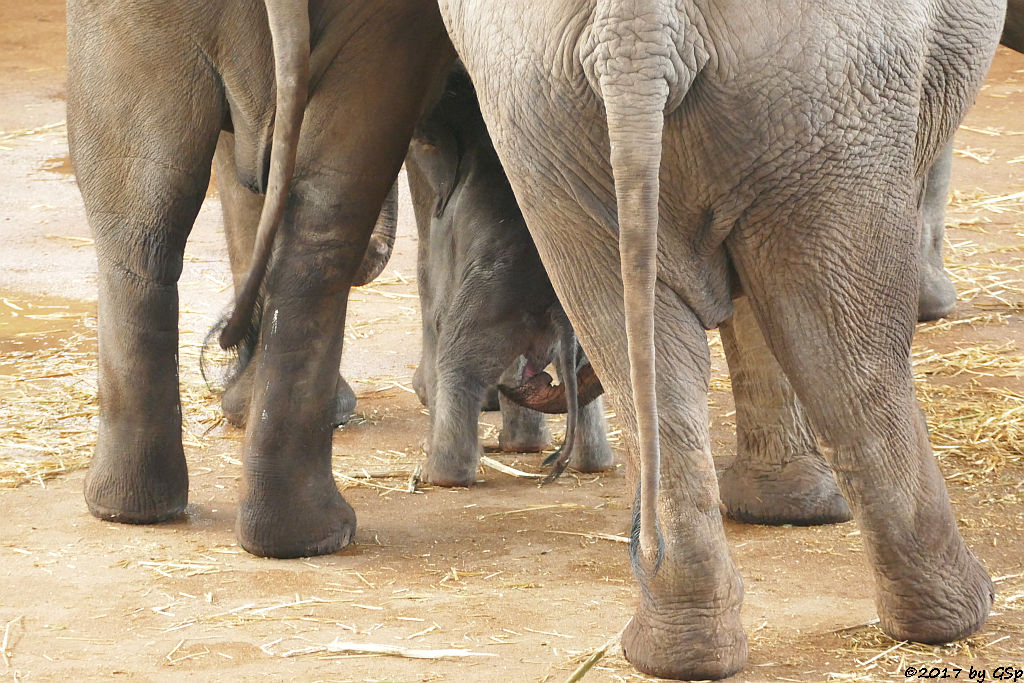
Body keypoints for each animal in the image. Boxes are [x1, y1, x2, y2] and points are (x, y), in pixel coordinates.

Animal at [403, 63, 614, 483]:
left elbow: (436, 309)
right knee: (584, 371)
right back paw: (590, 464)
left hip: (494, 297)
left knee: (458, 359)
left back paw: (440, 476)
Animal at [438, 2, 999, 679]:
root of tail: (632, 30)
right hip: (830, 87)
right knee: (850, 355)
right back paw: (957, 618)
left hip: (536, 105)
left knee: (636, 341)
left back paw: (675, 650)